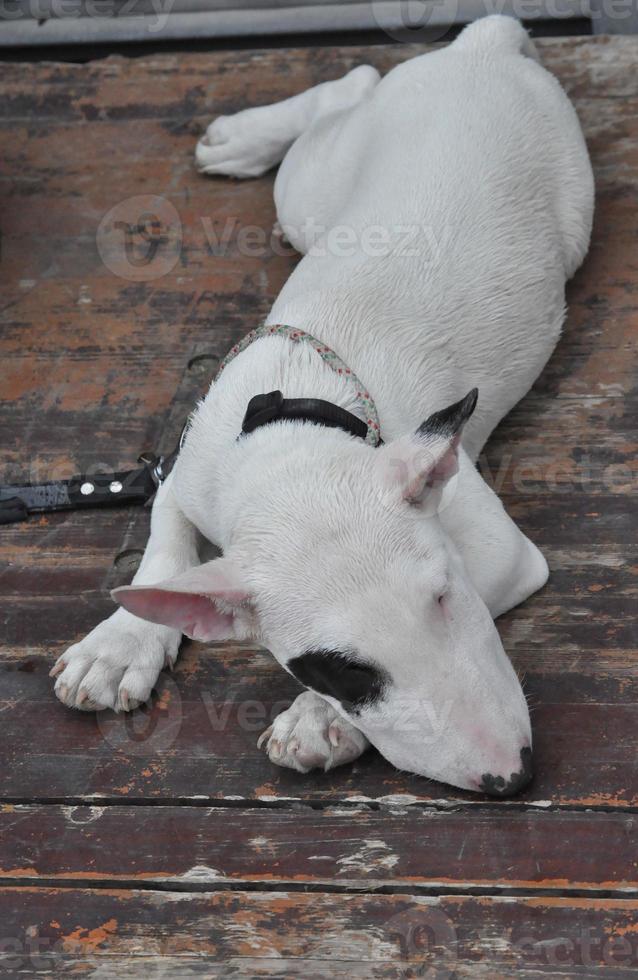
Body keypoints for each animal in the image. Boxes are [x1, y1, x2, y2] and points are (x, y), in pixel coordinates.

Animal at [50, 17, 596, 796]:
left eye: (447, 595)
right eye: (341, 672)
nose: (512, 777)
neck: (295, 436)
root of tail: (479, 47)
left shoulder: (493, 548)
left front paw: (317, 723)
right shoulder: (190, 461)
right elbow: (163, 546)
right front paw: (122, 643)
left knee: (357, 79)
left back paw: (245, 136)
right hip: (314, 195)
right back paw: (245, 137)